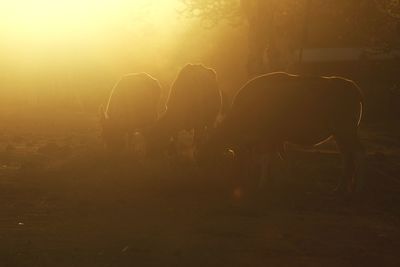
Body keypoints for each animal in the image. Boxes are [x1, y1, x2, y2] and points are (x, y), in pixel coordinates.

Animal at [200, 72, 366, 195]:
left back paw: (356, 187)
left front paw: (263, 184)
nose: (205, 184)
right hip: (339, 135)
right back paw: (340, 187)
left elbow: (266, 159)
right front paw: (280, 181)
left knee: (358, 153)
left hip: (346, 131)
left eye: (211, 160)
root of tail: (352, 86)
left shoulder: (267, 138)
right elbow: (280, 159)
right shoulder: (276, 139)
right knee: (346, 156)